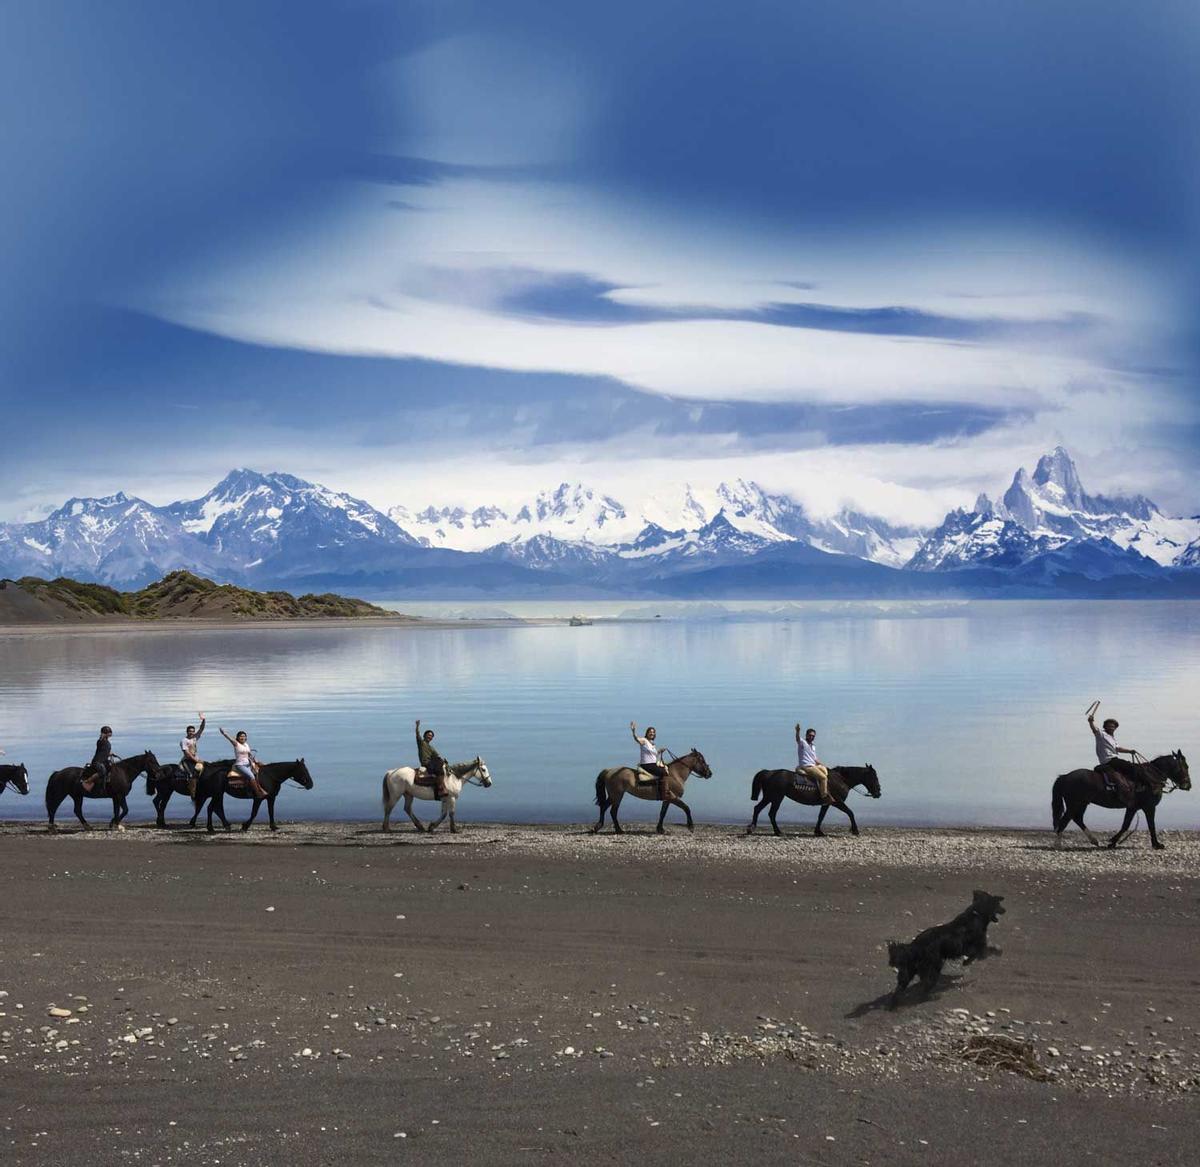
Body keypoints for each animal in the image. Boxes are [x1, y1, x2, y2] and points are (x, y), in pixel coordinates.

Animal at [184, 763, 312, 835]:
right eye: (303, 770)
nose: (311, 784)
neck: (269, 776)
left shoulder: (271, 798)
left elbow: (271, 812)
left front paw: (273, 827)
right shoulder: (258, 798)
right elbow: (254, 813)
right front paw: (245, 826)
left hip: (219, 794)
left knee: (215, 808)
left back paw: (224, 826)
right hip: (217, 794)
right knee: (212, 808)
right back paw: (213, 827)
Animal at [748, 763, 883, 840]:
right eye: (874, 777)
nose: (878, 793)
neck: (840, 779)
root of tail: (769, 772)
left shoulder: (827, 803)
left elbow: (821, 816)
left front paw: (818, 831)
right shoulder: (837, 802)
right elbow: (850, 812)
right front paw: (855, 830)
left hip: (770, 797)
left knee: (758, 809)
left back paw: (754, 829)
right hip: (776, 798)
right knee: (770, 813)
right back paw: (776, 831)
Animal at [1051, 753, 1190, 854]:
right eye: (1186, 766)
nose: (1188, 785)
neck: (1151, 778)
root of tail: (1065, 776)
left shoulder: (1133, 808)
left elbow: (1125, 825)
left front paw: (1112, 842)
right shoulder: (1149, 807)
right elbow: (1151, 825)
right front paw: (1157, 844)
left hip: (1082, 804)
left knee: (1077, 819)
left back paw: (1094, 840)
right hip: (1074, 804)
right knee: (1065, 821)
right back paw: (1058, 845)